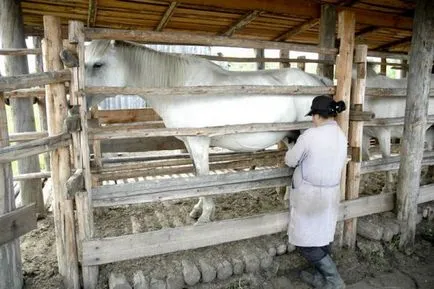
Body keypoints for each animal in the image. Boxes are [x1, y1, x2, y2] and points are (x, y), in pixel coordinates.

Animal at [85, 40, 328, 224]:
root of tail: (317, 81)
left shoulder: (199, 142)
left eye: (98, 64)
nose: (79, 101)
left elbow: (203, 176)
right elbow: (196, 175)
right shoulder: (189, 143)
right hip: (291, 135)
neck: (181, 88)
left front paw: (205, 216)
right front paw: (197, 209)